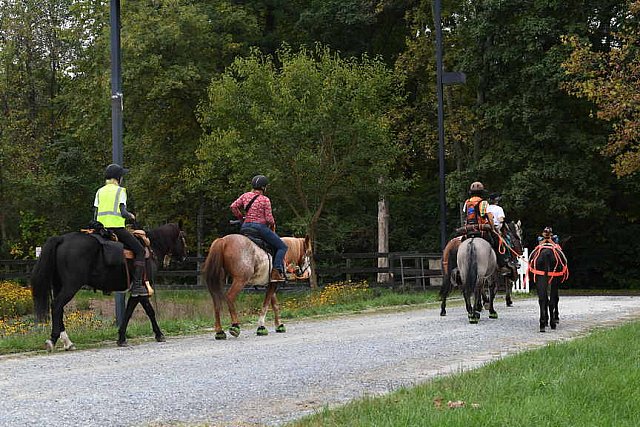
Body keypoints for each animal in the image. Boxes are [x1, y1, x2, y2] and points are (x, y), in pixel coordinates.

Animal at [31, 224, 186, 352]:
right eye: (182, 238)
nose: (184, 257)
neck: (152, 246)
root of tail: (61, 239)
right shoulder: (141, 289)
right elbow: (146, 312)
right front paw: (158, 334)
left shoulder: (136, 291)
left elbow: (130, 312)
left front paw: (121, 337)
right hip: (71, 286)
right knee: (56, 306)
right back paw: (53, 340)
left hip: (59, 285)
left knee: (59, 309)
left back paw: (67, 342)